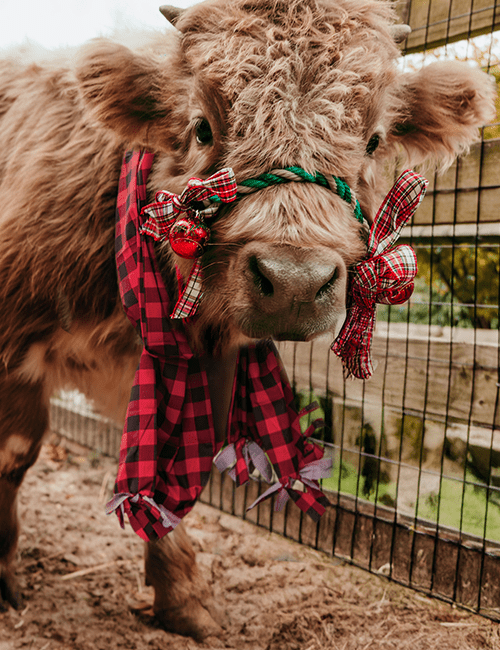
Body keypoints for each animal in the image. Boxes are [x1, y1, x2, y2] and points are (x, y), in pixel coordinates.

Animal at [0, 0, 495, 641]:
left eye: (373, 139)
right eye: (203, 127)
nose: (294, 281)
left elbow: (165, 476)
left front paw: (187, 598)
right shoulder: (15, 349)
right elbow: (14, 457)